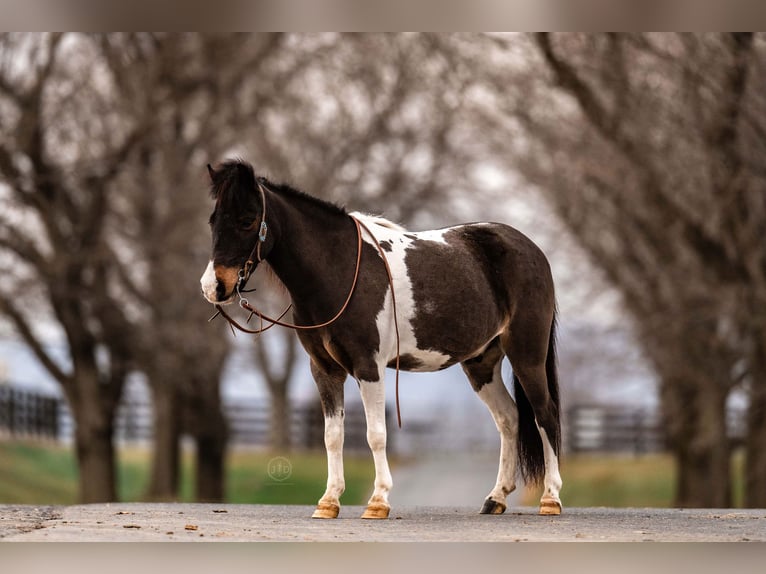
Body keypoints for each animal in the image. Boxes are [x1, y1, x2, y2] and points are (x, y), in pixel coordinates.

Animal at [200, 160, 564, 520]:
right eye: (213, 219)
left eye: (247, 220)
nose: (213, 287)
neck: (341, 269)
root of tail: (531, 250)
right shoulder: (324, 369)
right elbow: (332, 436)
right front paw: (328, 502)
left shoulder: (368, 366)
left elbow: (375, 434)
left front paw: (378, 502)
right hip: (481, 363)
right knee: (509, 418)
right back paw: (496, 498)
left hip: (527, 355)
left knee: (544, 414)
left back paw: (550, 498)